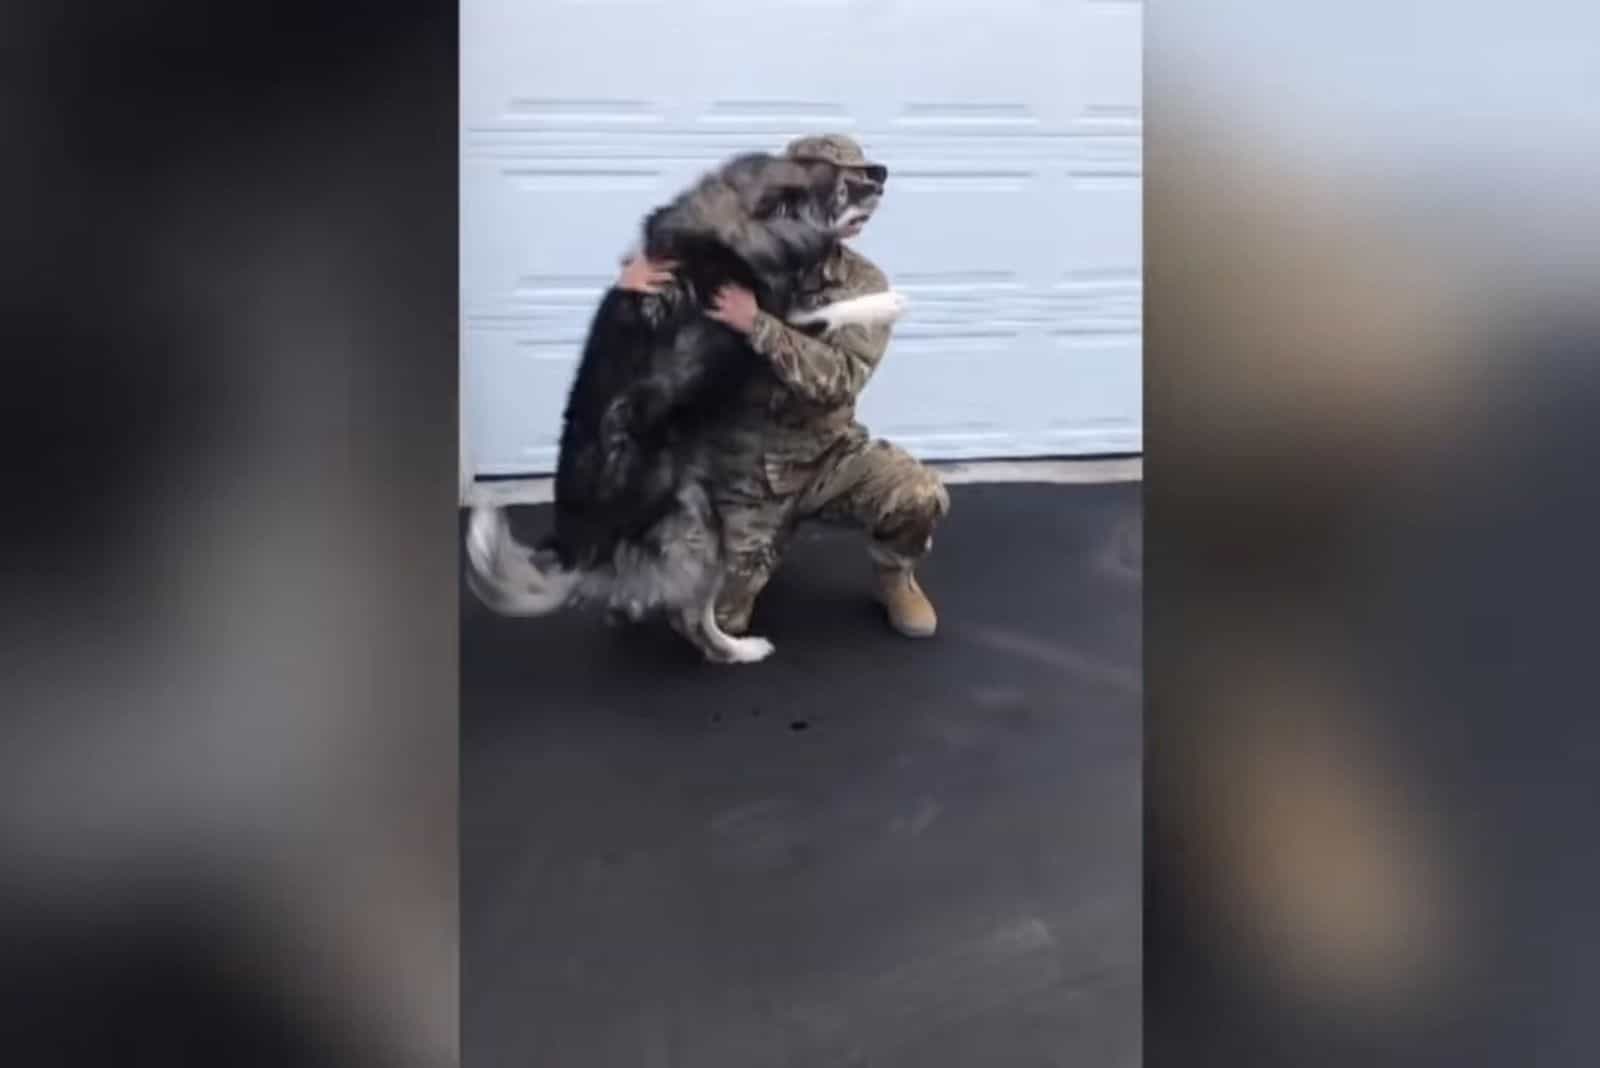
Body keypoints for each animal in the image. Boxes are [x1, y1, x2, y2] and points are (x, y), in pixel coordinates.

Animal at [467, 153, 908, 661]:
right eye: (841, 185)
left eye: (839, 165)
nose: (881, 171)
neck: (734, 225)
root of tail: (573, 543)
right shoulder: (770, 328)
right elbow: (829, 313)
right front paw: (888, 301)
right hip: (706, 538)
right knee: (692, 618)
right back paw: (744, 649)